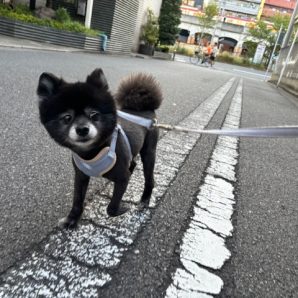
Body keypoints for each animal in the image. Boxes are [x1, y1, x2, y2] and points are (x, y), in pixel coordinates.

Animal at [37, 69, 163, 228]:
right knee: (133, 163)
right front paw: (72, 219)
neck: (91, 153)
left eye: (94, 114)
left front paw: (123, 208)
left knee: (149, 178)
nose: (82, 129)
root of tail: (146, 109)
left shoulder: (122, 178)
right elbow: (77, 200)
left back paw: (145, 199)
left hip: (149, 152)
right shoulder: (81, 176)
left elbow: (112, 208)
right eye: (67, 118)